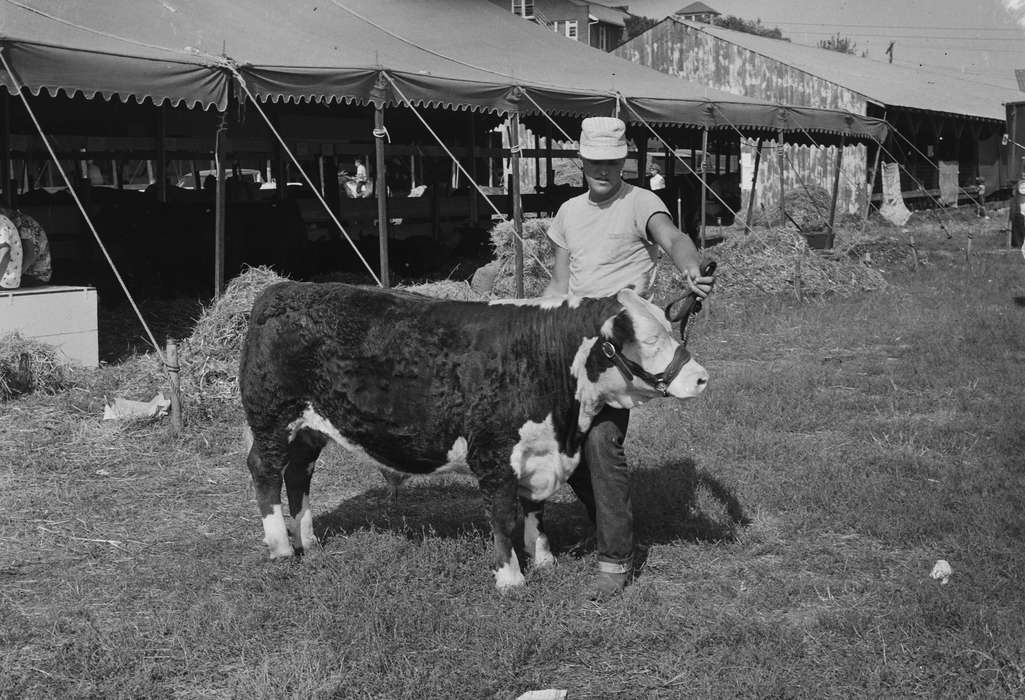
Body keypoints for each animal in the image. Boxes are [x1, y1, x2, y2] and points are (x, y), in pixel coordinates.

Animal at [239, 282, 708, 590]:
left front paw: (543, 559)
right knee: (265, 471)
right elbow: (501, 517)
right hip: (271, 418)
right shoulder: (494, 455)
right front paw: (510, 578)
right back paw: (281, 547)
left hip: (309, 428)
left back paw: (310, 540)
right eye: (649, 340)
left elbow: (535, 510)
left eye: (669, 329)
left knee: (298, 474)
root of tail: (279, 289)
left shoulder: (539, 453)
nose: (702, 378)